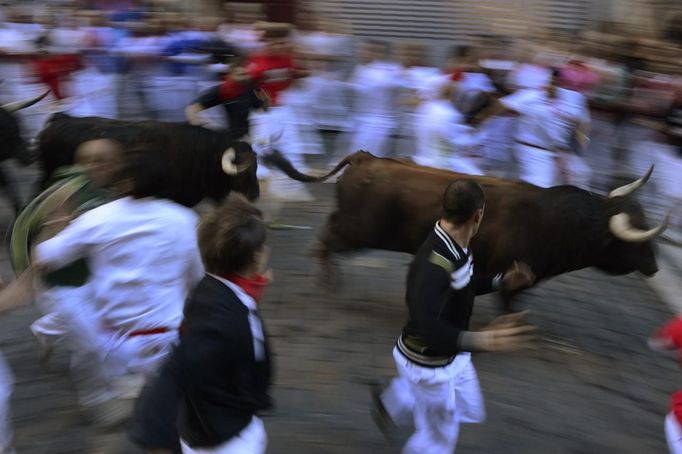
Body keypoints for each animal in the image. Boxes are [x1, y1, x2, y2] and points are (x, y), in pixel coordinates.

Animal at [262, 151, 668, 310]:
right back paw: (327, 283)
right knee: (327, 240)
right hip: (357, 230)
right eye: (636, 239)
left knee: (326, 237)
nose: (654, 267)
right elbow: (509, 301)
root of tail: (365, 158)